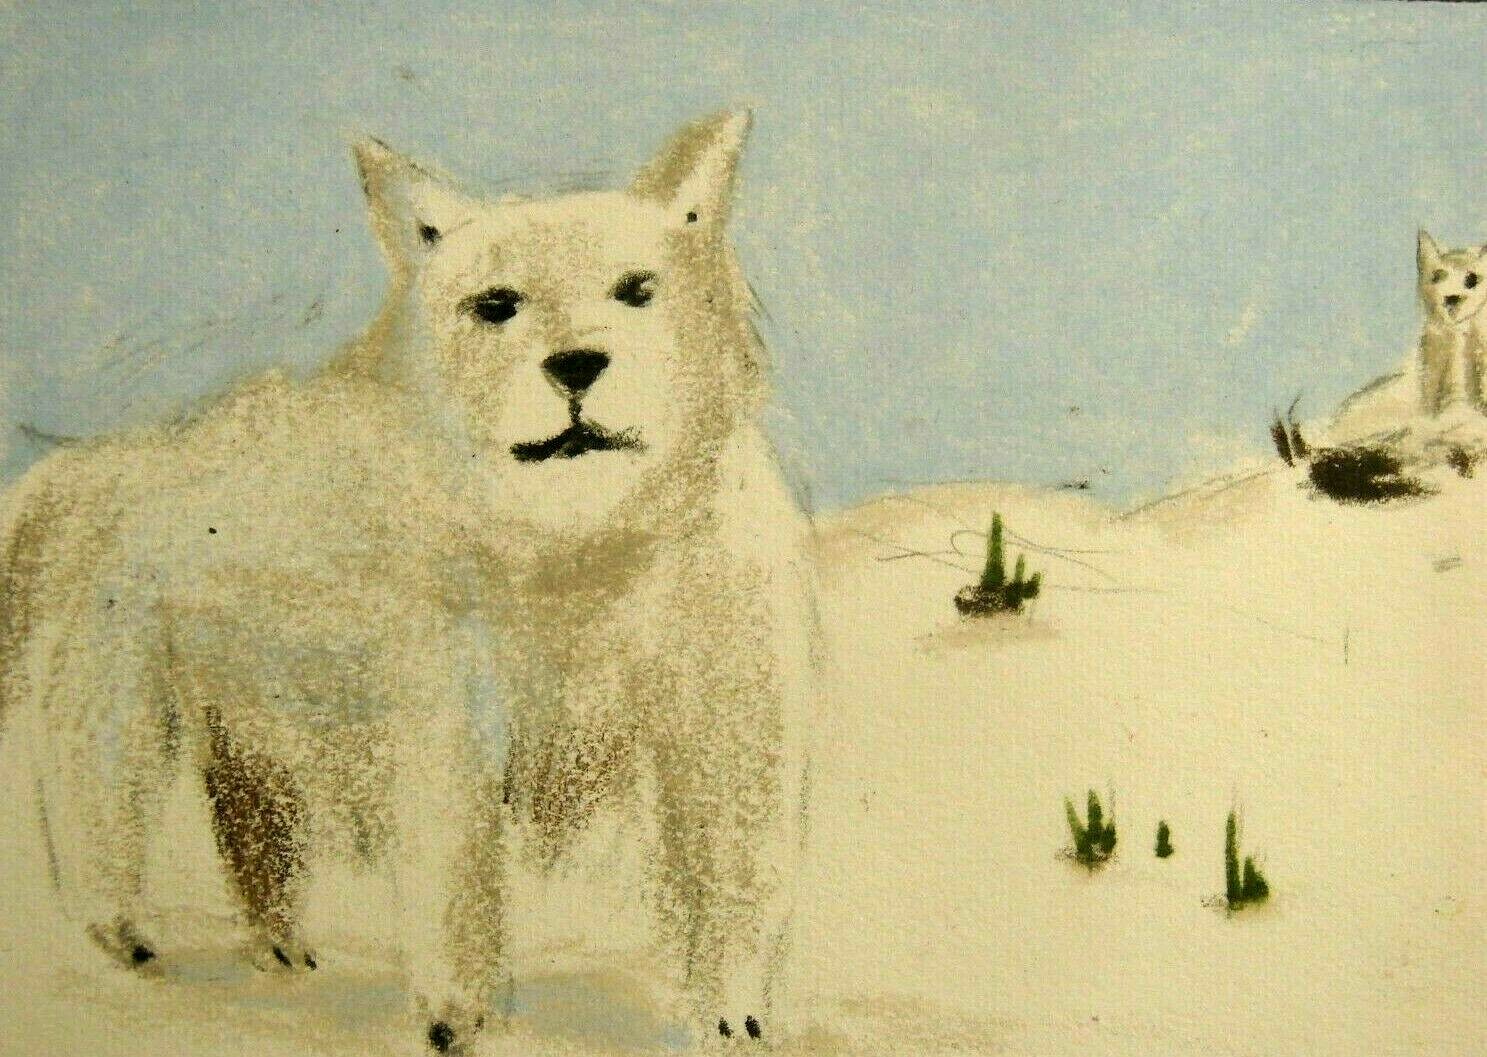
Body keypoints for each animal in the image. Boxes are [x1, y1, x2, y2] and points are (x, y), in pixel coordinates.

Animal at [0, 109, 818, 1054]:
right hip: (121, 717)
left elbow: (733, 875)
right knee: (100, 835)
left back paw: (280, 950)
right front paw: (456, 1017)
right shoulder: (448, 724)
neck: (582, 548)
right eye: (496, 305)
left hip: (253, 732)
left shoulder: (726, 717)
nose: (576, 364)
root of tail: (86, 467)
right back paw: (125, 946)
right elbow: (455, 876)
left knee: (249, 836)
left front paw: (731, 1015)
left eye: (637, 289)